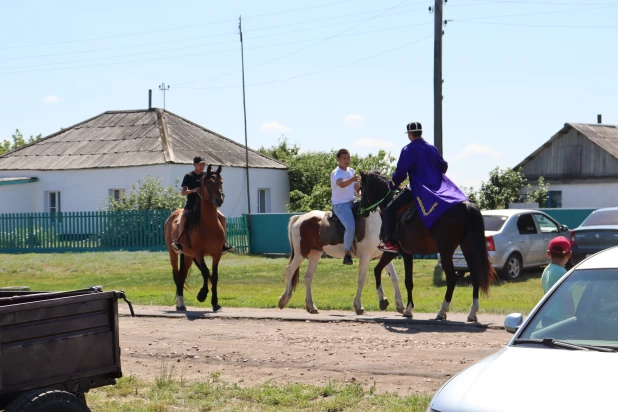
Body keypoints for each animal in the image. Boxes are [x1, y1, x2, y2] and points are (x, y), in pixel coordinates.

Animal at [162, 164, 225, 312]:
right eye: (209, 182)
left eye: (221, 182)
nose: (219, 200)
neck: (208, 225)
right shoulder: (199, 253)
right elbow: (205, 272)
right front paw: (202, 295)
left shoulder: (217, 254)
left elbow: (213, 276)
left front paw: (215, 303)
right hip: (173, 253)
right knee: (177, 275)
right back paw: (180, 304)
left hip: (188, 256)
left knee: (183, 274)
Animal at [356, 171, 496, 322]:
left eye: (361, 188)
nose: (360, 210)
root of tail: (467, 206)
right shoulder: (400, 253)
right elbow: (380, 271)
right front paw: (389, 303)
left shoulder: (397, 252)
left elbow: (404, 280)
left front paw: (404, 308)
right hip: (468, 247)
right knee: (475, 275)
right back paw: (472, 312)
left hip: (446, 251)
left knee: (452, 278)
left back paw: (442, 311)